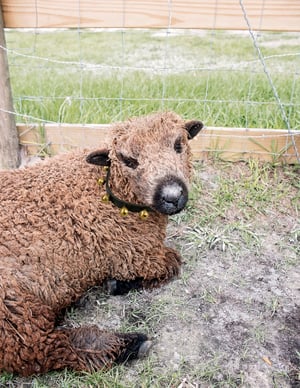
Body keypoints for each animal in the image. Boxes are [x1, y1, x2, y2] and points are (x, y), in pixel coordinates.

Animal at [0, 111, 204, 376]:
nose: (172, 196)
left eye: (179, 144)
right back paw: (129, 344)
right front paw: (119, 284)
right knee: (38, 349)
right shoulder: (135, 255)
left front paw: (116, 285)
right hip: (11, 307)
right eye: (128, 160)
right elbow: (173, 263)